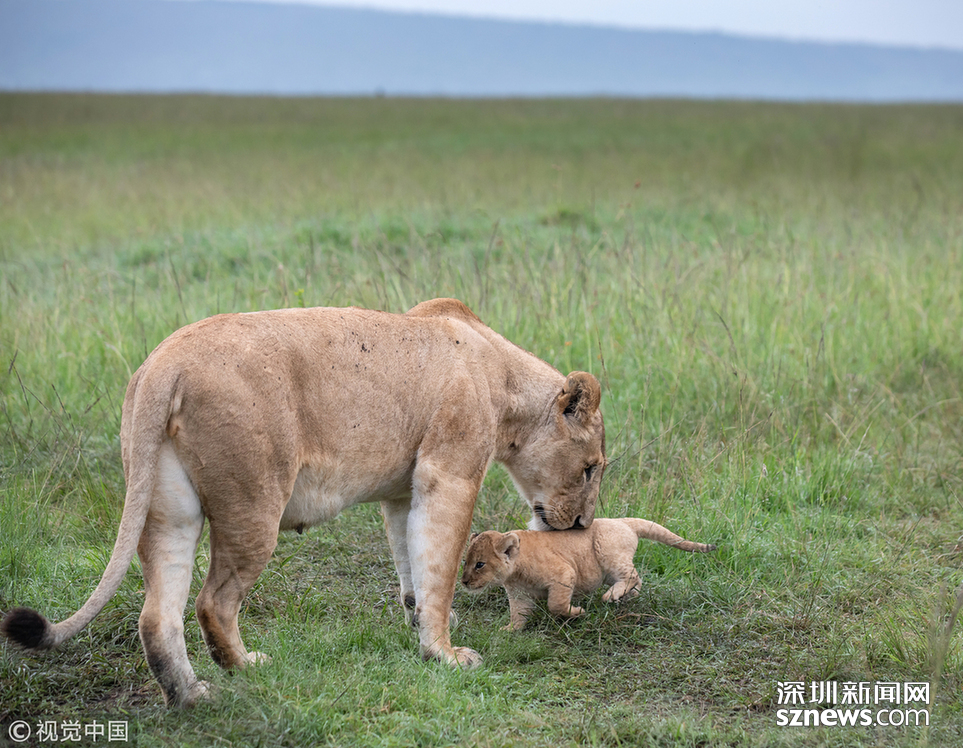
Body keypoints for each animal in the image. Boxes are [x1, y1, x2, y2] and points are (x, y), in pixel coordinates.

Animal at [1, 298, 606, 707]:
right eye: (591, 467)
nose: (581, 521)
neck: (501, 376)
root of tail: (162, 364)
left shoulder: (401, 491)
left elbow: (410, 566)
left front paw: (418, 626)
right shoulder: (449, 473)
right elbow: (438, 567)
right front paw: (445, 653)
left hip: (167, 509)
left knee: (158, 615)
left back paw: (193, 696)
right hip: (254, 503)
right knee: (213, 603)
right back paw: (244, 668)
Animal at [461, 518, 715, 630]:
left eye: (480, 564)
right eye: (466, 561)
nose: (463, 582)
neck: (515, 573)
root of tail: (624, 521)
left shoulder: (564, 573)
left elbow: (556, 604)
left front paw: (577, 613)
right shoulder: (518, 594)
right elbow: (518, 614)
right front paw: (509, 631)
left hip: (608, 550)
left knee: (632, 575)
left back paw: (611, 596)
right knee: (637, 580)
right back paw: (625, 597)